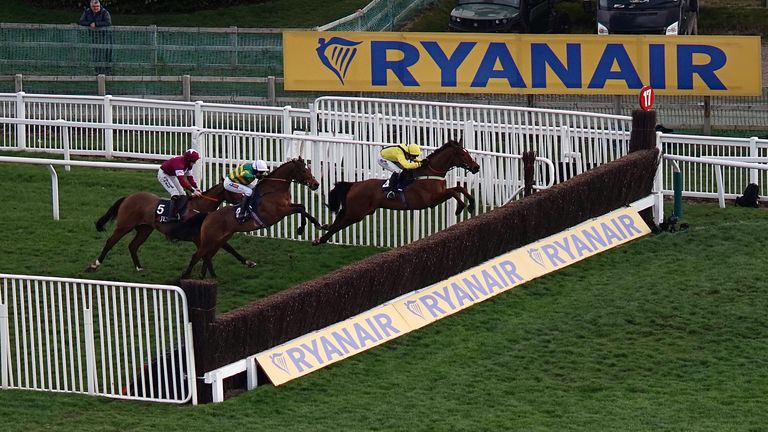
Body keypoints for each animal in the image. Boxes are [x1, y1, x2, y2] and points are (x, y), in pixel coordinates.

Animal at [89, 183, 249, 272]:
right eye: (234, 189)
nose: (244, 199)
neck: (199, 208)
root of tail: (128, 197)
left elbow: (227, 247)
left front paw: (247, 262)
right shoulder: (199, 238)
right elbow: (217, 249)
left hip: (145, 229)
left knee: (133, 246)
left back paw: (139, 267)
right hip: (124, 226)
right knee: (110, 242)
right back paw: (95, 264)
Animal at [174, 157, 324, 278]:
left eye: (309, 170)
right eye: (304, 171)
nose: (316, 184)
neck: (275, 189)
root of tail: (208, 216)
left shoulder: (287, 205)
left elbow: (302, 207)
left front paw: (316, 225)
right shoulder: (280, 212)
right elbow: (300, 209)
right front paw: (301, 229)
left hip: (220, 239)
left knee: (207, 256)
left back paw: (205, 277)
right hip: (209, 239)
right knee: (196, 256)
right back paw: (186, 276)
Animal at [312, 139, 480, 246]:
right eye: (463, 154)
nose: (476, 167)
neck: (430, 172)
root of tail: (354, 184)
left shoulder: (440, 193)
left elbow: (459, 189)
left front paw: (471, 204)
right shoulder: (432, 200)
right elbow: (454, 193)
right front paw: (460, 208)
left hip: (356, 211)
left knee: (338, 219)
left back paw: (323, 232)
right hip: (356, 213)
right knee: (338, 225)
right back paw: (320, 240)